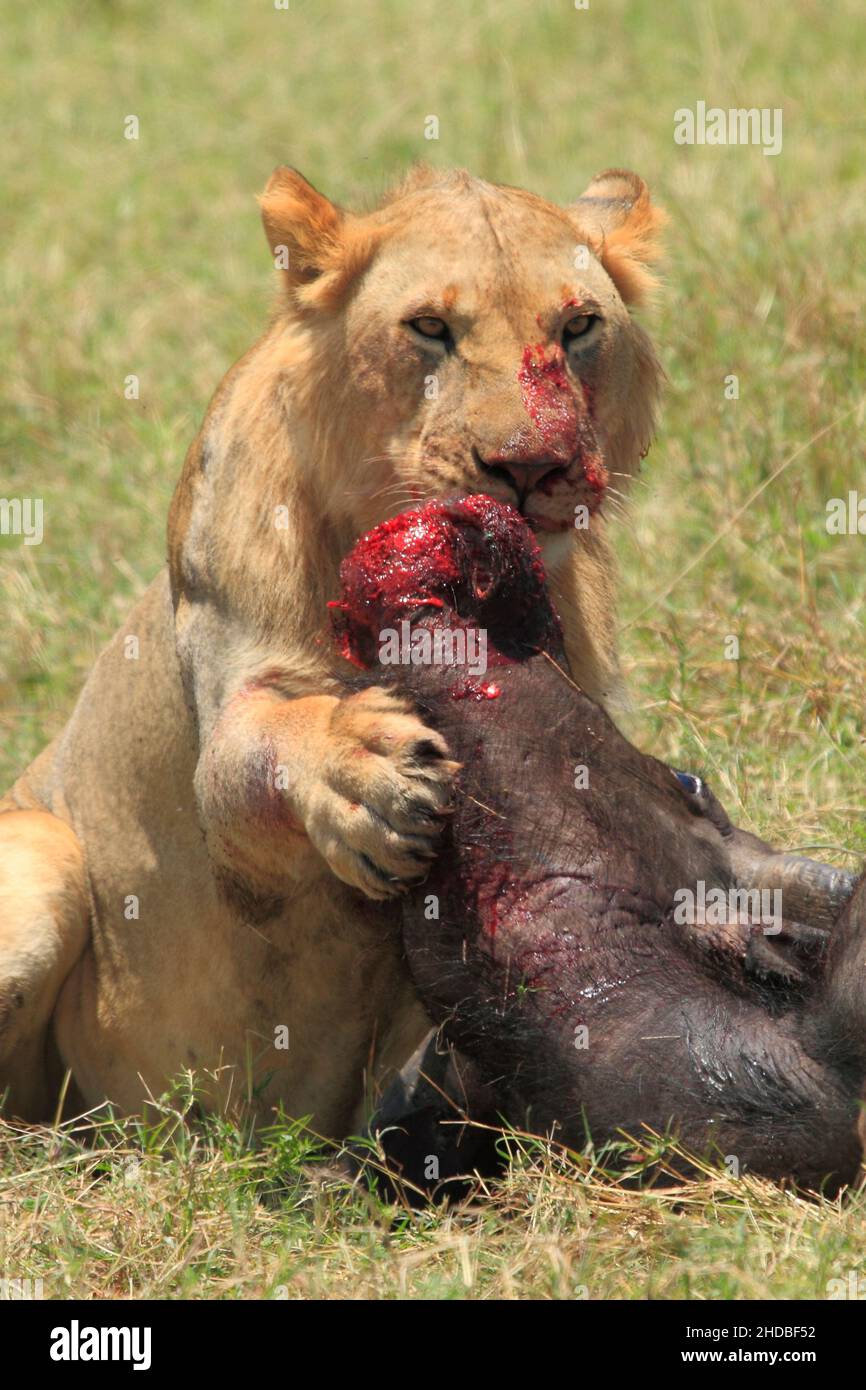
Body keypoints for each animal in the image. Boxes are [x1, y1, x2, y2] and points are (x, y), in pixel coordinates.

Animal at [0, 168, 664, 1134]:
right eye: (429, 327)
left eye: (578, 328)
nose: (532, 467)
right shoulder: (234, 712)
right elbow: (262, 746)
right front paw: (363, 769)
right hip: (44, 858)